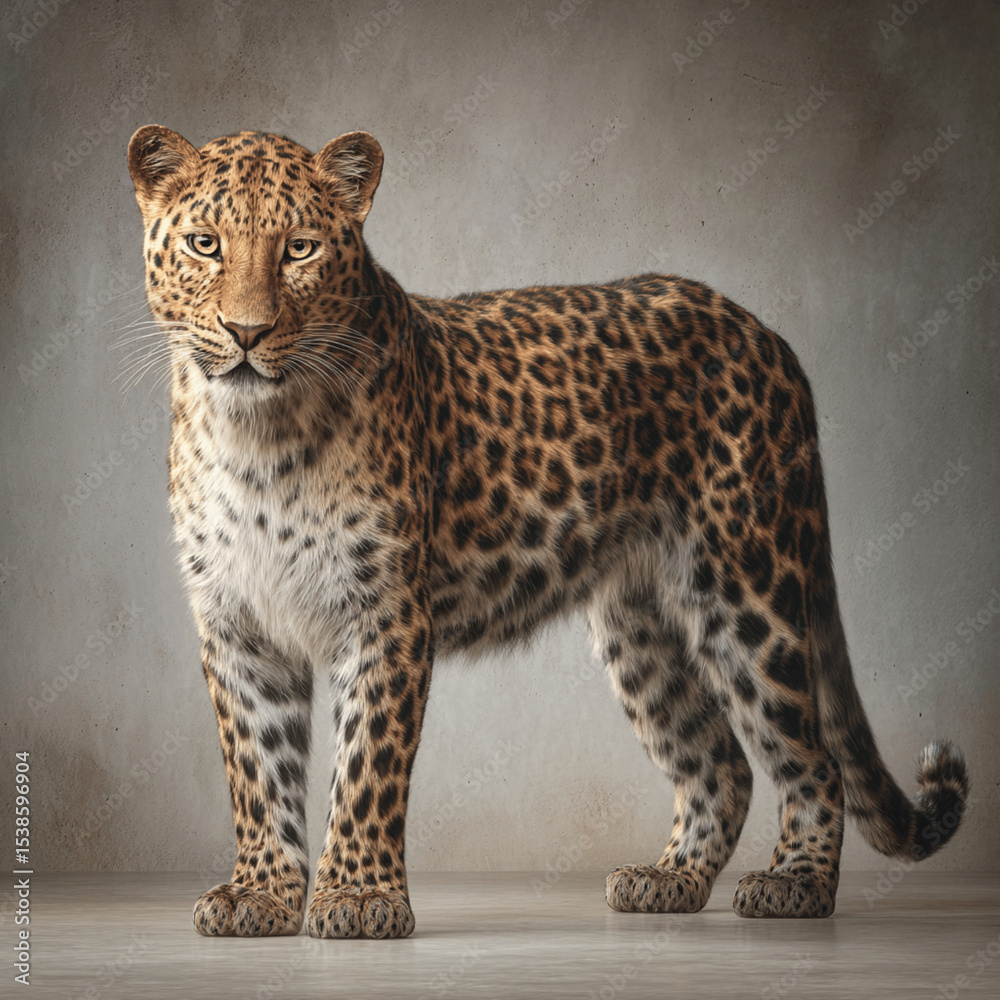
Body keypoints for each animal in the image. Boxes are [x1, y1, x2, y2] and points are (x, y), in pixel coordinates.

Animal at [125, 124, 969, 939]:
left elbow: (366, 766)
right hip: (639, 625)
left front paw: (360, 898)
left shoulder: (384, 614)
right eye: (205, 244)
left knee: (809, 756)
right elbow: (257, 773)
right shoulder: (237, 624)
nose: (246, 331)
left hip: (746, 588)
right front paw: (259, 896)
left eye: (299, 248)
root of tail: (767, 335)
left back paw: (795, 884)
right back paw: (668, 880)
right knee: (720, 763)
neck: (257, 436)